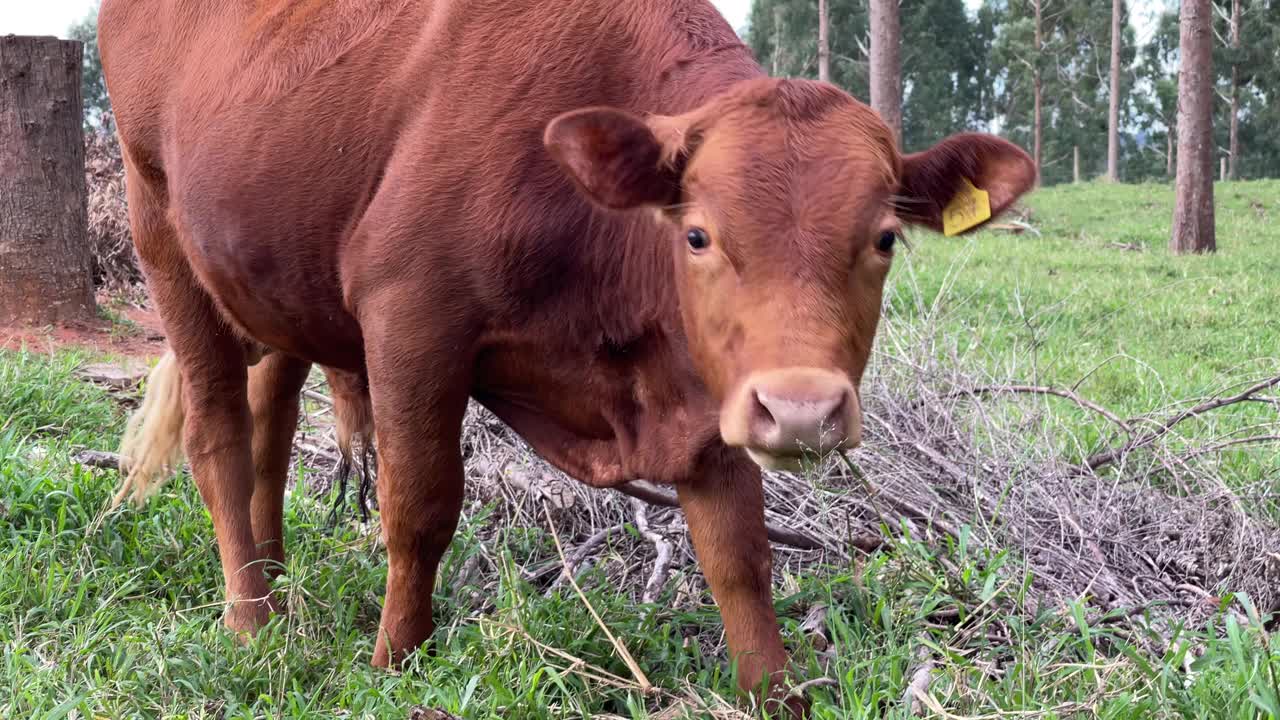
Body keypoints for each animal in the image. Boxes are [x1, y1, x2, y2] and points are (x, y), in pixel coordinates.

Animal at [99, 0, 1039, 707]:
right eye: (698, 234)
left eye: (883, 237)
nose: (801, 410)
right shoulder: (411, 319)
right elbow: (421, 508)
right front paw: (395, 661)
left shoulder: (705, 394)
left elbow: (738, 552)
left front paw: (774, 692)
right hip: (162, 233)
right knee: (219, 435)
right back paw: (251, 621)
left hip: (270, 280)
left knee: (270, 428)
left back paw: (273, 582)